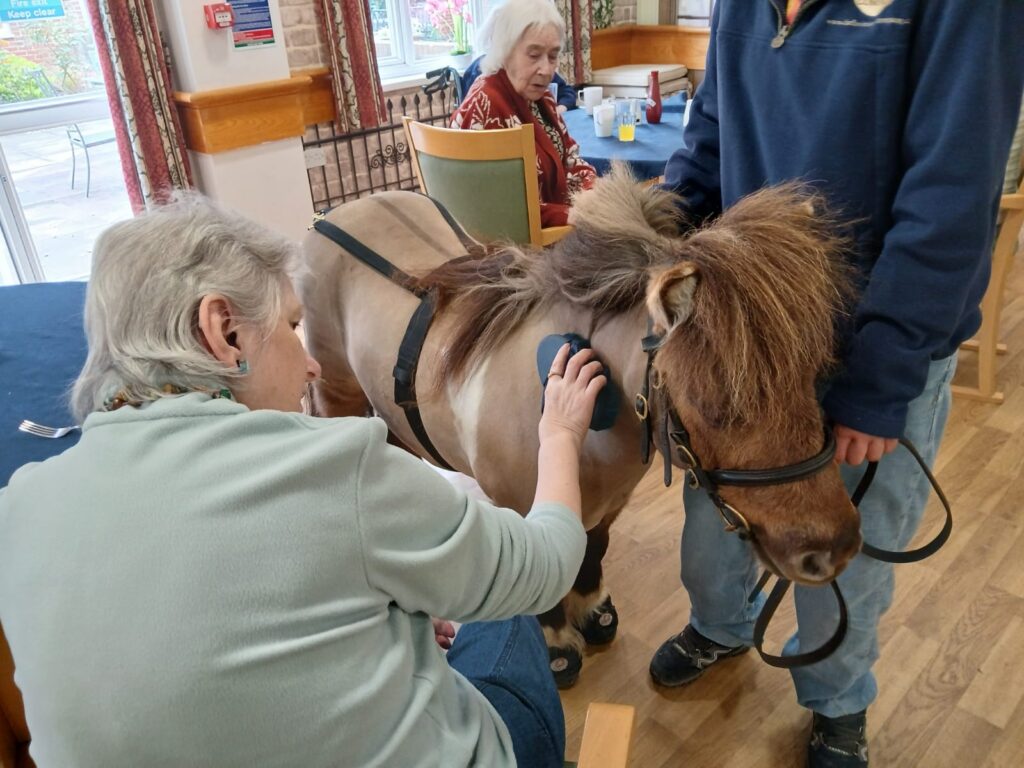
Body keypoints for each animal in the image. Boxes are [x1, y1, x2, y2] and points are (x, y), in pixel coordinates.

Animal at [296, 165, 863, 686]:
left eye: (814, 373)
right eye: (711, 401)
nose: (833, 550)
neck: (576, 419)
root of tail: (335, 214)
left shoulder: (608, 508)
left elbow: (592, 555)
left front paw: (592, 614)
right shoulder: (525, 516)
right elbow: (545, 588)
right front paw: (558, 648)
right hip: (338, 391)